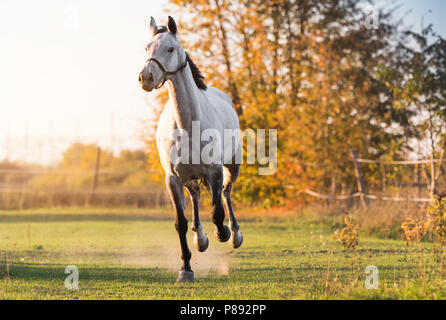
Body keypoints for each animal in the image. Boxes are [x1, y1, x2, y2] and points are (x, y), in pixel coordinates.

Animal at [139, 16, 244, 282]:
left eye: (170, 49)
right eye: (146, 48)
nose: (146, 77)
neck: (188, 126)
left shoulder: (214, 170)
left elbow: (217, 212)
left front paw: (223, 233)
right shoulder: (173, 180)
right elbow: (181, 223)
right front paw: (185, 269)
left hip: (232, 166)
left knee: (226, 192)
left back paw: (234, 235)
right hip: (190, 178)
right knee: (196, 197)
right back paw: (201, 239)